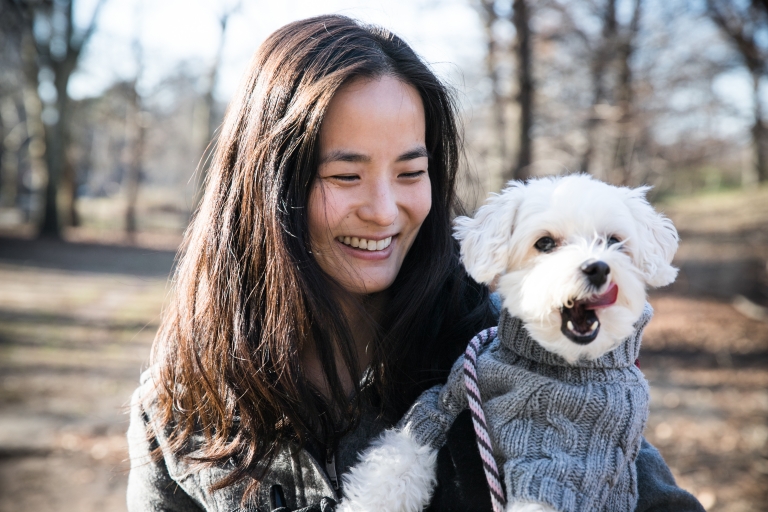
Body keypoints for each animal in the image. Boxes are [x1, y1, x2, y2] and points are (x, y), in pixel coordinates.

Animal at [336, 174, 680, 510]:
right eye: (545, 243)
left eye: (614, 241)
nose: (597, 268)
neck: (546, 361)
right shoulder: (444, 398)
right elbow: (399, 454)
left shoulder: (568, 460)